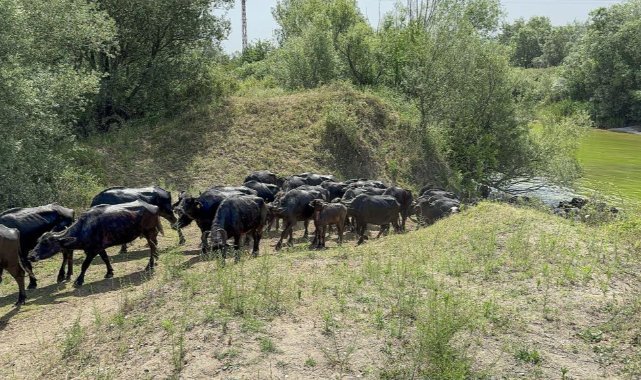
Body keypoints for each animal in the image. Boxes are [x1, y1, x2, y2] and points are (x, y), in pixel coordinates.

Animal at [28, 200, 162, 286]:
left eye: (46, 243)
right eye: (38, 241)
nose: (31, 256)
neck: (84, 228)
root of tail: (154, 207)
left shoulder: (92, 250)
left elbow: (85, 265)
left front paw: (79, 280)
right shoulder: (100, 248)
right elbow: (105, 259)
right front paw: (109, 272)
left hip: (149, 232)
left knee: (152, 247)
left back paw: (149, 265)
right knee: (154, 247)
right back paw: (155, 261)